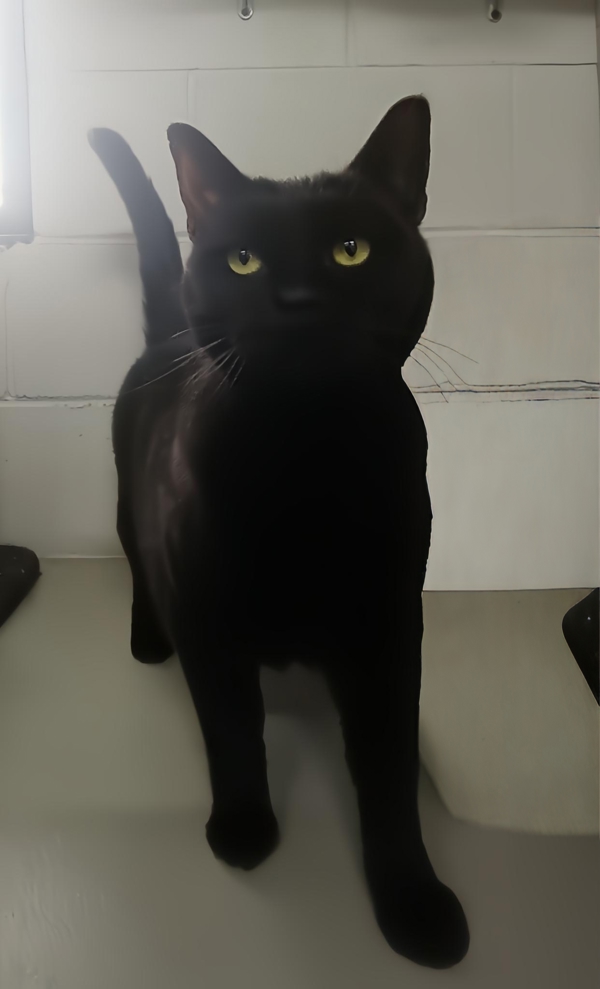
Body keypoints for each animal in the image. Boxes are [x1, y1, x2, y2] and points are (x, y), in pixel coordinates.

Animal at [89, 96, 469, 969]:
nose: (296, 298)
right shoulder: (209, 621)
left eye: (350, 250)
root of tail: (167, 334)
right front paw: (243, 831)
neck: (308, 464)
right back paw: (146, 639)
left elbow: (391, 772)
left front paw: (414, 905)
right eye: (244, 261)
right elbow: (234, 733)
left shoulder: (390, 628)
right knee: (135, 563)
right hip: (131, 509)